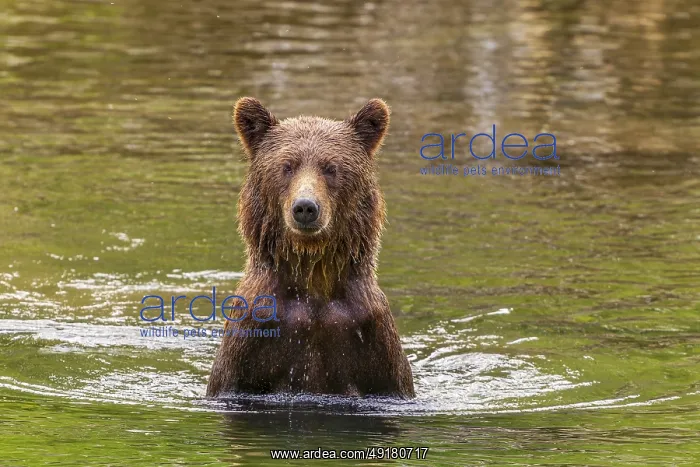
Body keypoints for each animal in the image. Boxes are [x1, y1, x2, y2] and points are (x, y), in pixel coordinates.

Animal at [206, 97, 415, 399]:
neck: (313, 277)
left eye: (330, 167)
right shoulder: (253, 337)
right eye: (287, 166)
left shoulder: (370, 336)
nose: (305, 207)